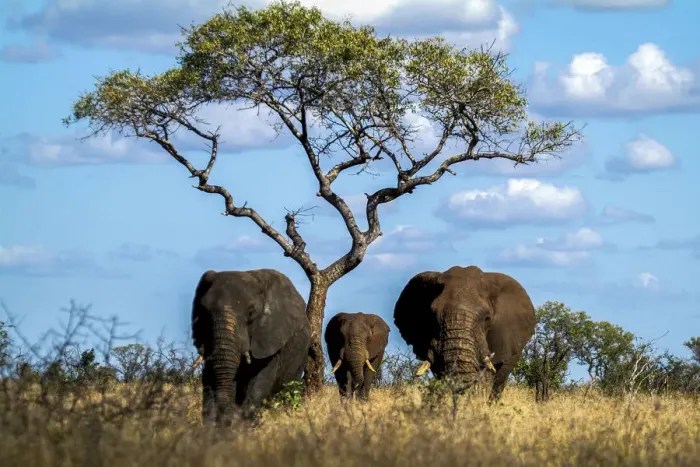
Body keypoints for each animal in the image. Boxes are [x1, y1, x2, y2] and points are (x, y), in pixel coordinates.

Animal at [190, 268, 310, 426]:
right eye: (204, 311)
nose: (226, 421)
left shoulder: (269, 337)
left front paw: (244, 426)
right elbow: (209, 376)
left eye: (251, 313)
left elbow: (261, 378)